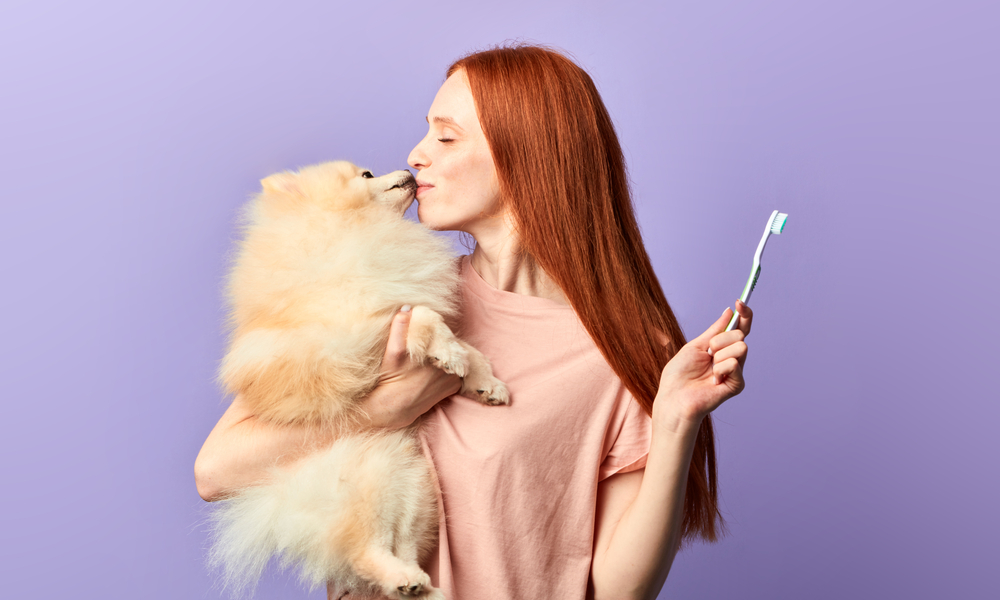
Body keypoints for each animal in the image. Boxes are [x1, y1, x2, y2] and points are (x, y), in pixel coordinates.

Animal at [208, 161, 509, 599]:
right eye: (366, 175)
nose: (408, 169)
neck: (357, 230)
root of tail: (282, 500)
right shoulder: (354, 339)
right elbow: (424, 315)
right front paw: (449, 354)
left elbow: (470, 347)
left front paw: (485, 381)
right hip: (369, 484)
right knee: (365, 552)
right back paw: (403, 579)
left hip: (414, 486)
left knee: (402, 547)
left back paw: (421, 586)